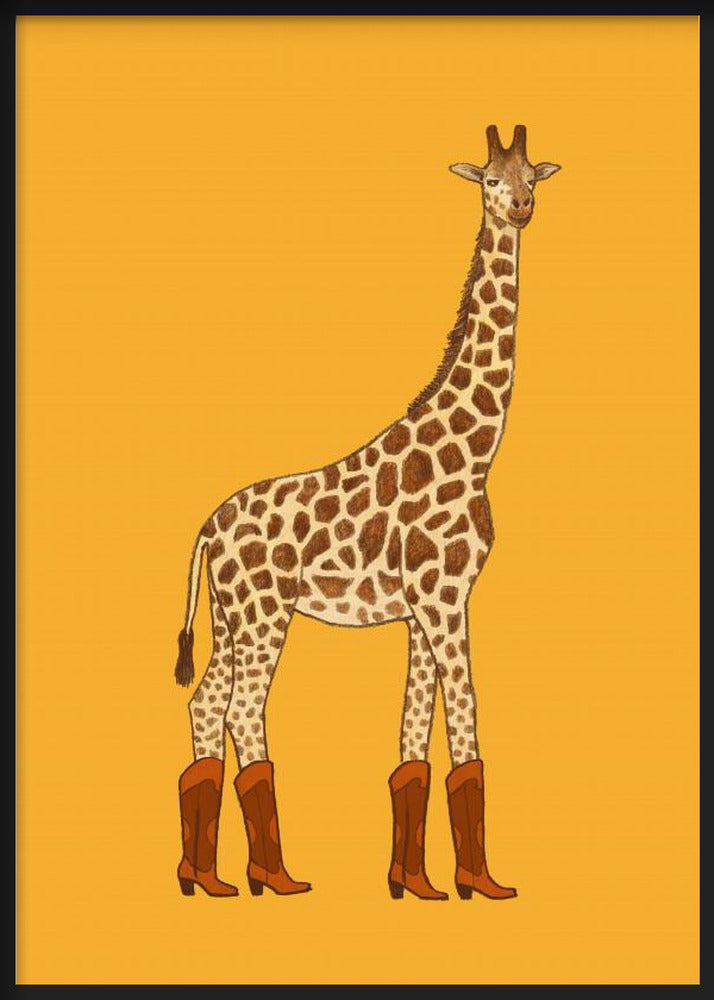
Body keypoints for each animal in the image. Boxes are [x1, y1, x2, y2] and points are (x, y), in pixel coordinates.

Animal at [173, 124, 560, 901]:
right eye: (489, 182)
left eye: (532, 176)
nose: (522, 209)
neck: (476, 448)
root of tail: (206, 530)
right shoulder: (444, 597)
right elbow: (466, 720)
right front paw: (482, 882)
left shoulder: (421, 608)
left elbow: (414, 739)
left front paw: (415, 883)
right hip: (265, 613)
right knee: (241, 709)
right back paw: (274, 877)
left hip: (230, 618)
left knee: (205, 705)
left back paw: (208, 878)